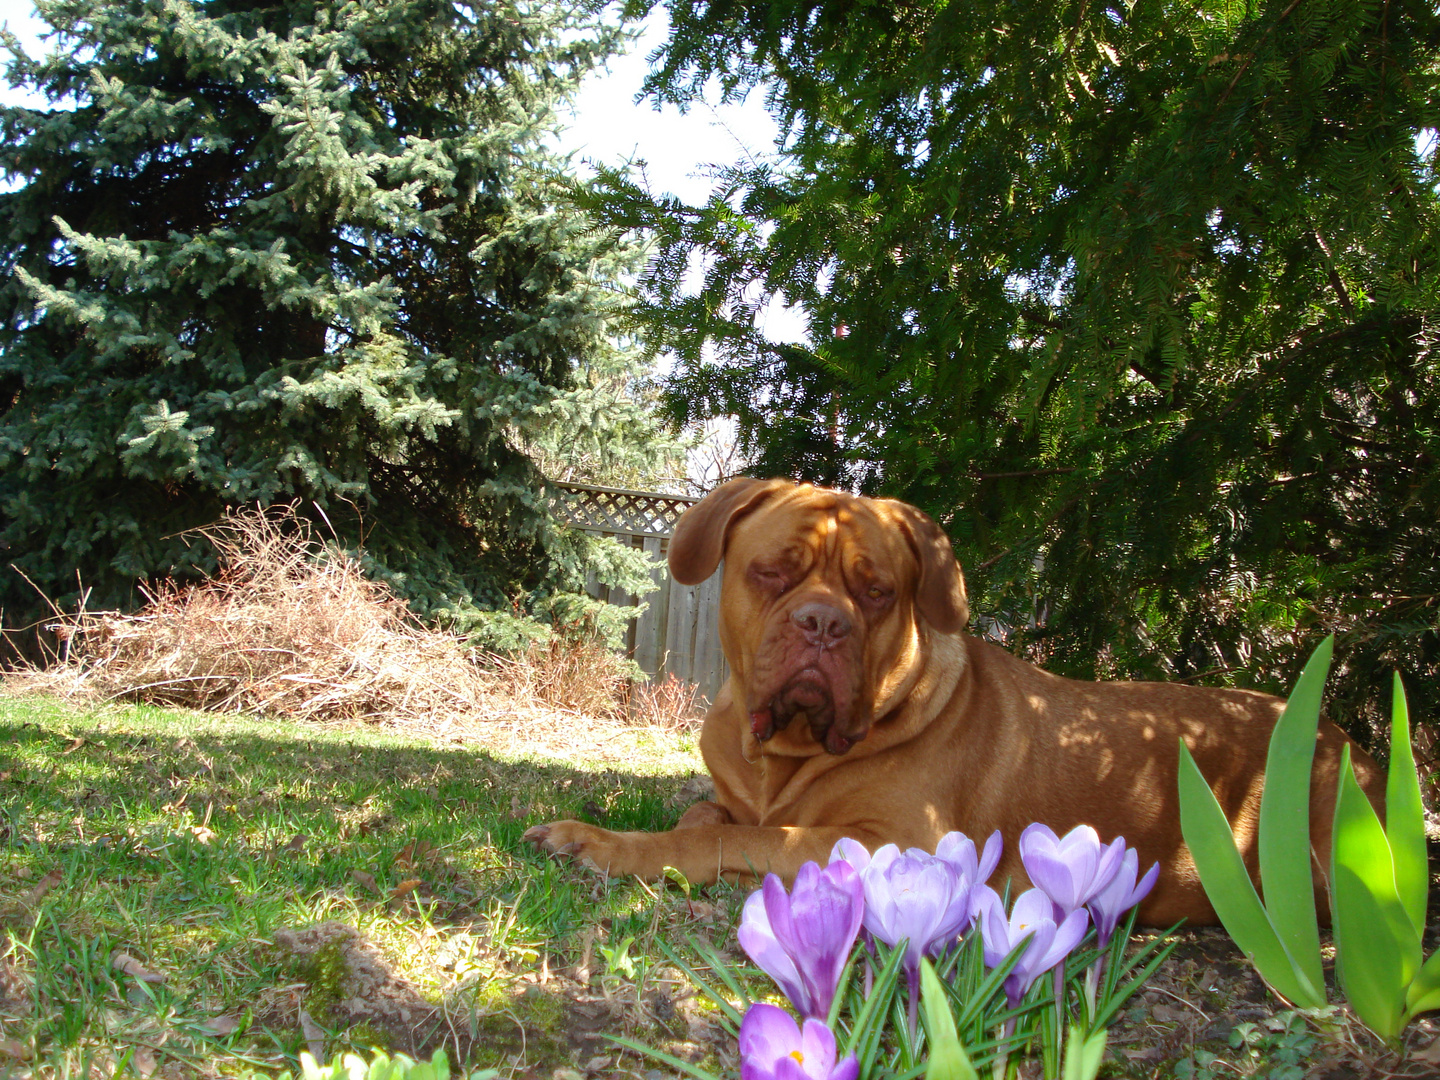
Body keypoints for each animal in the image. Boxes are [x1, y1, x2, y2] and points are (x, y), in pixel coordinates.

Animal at [527, 478, 1382, 927]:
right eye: (775, 572)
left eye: (876, 591)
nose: (824, 622)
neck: (786, 757)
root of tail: (1352, 743)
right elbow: (709, 816)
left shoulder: (893, 843)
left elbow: (732, 839)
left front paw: (607, 844)